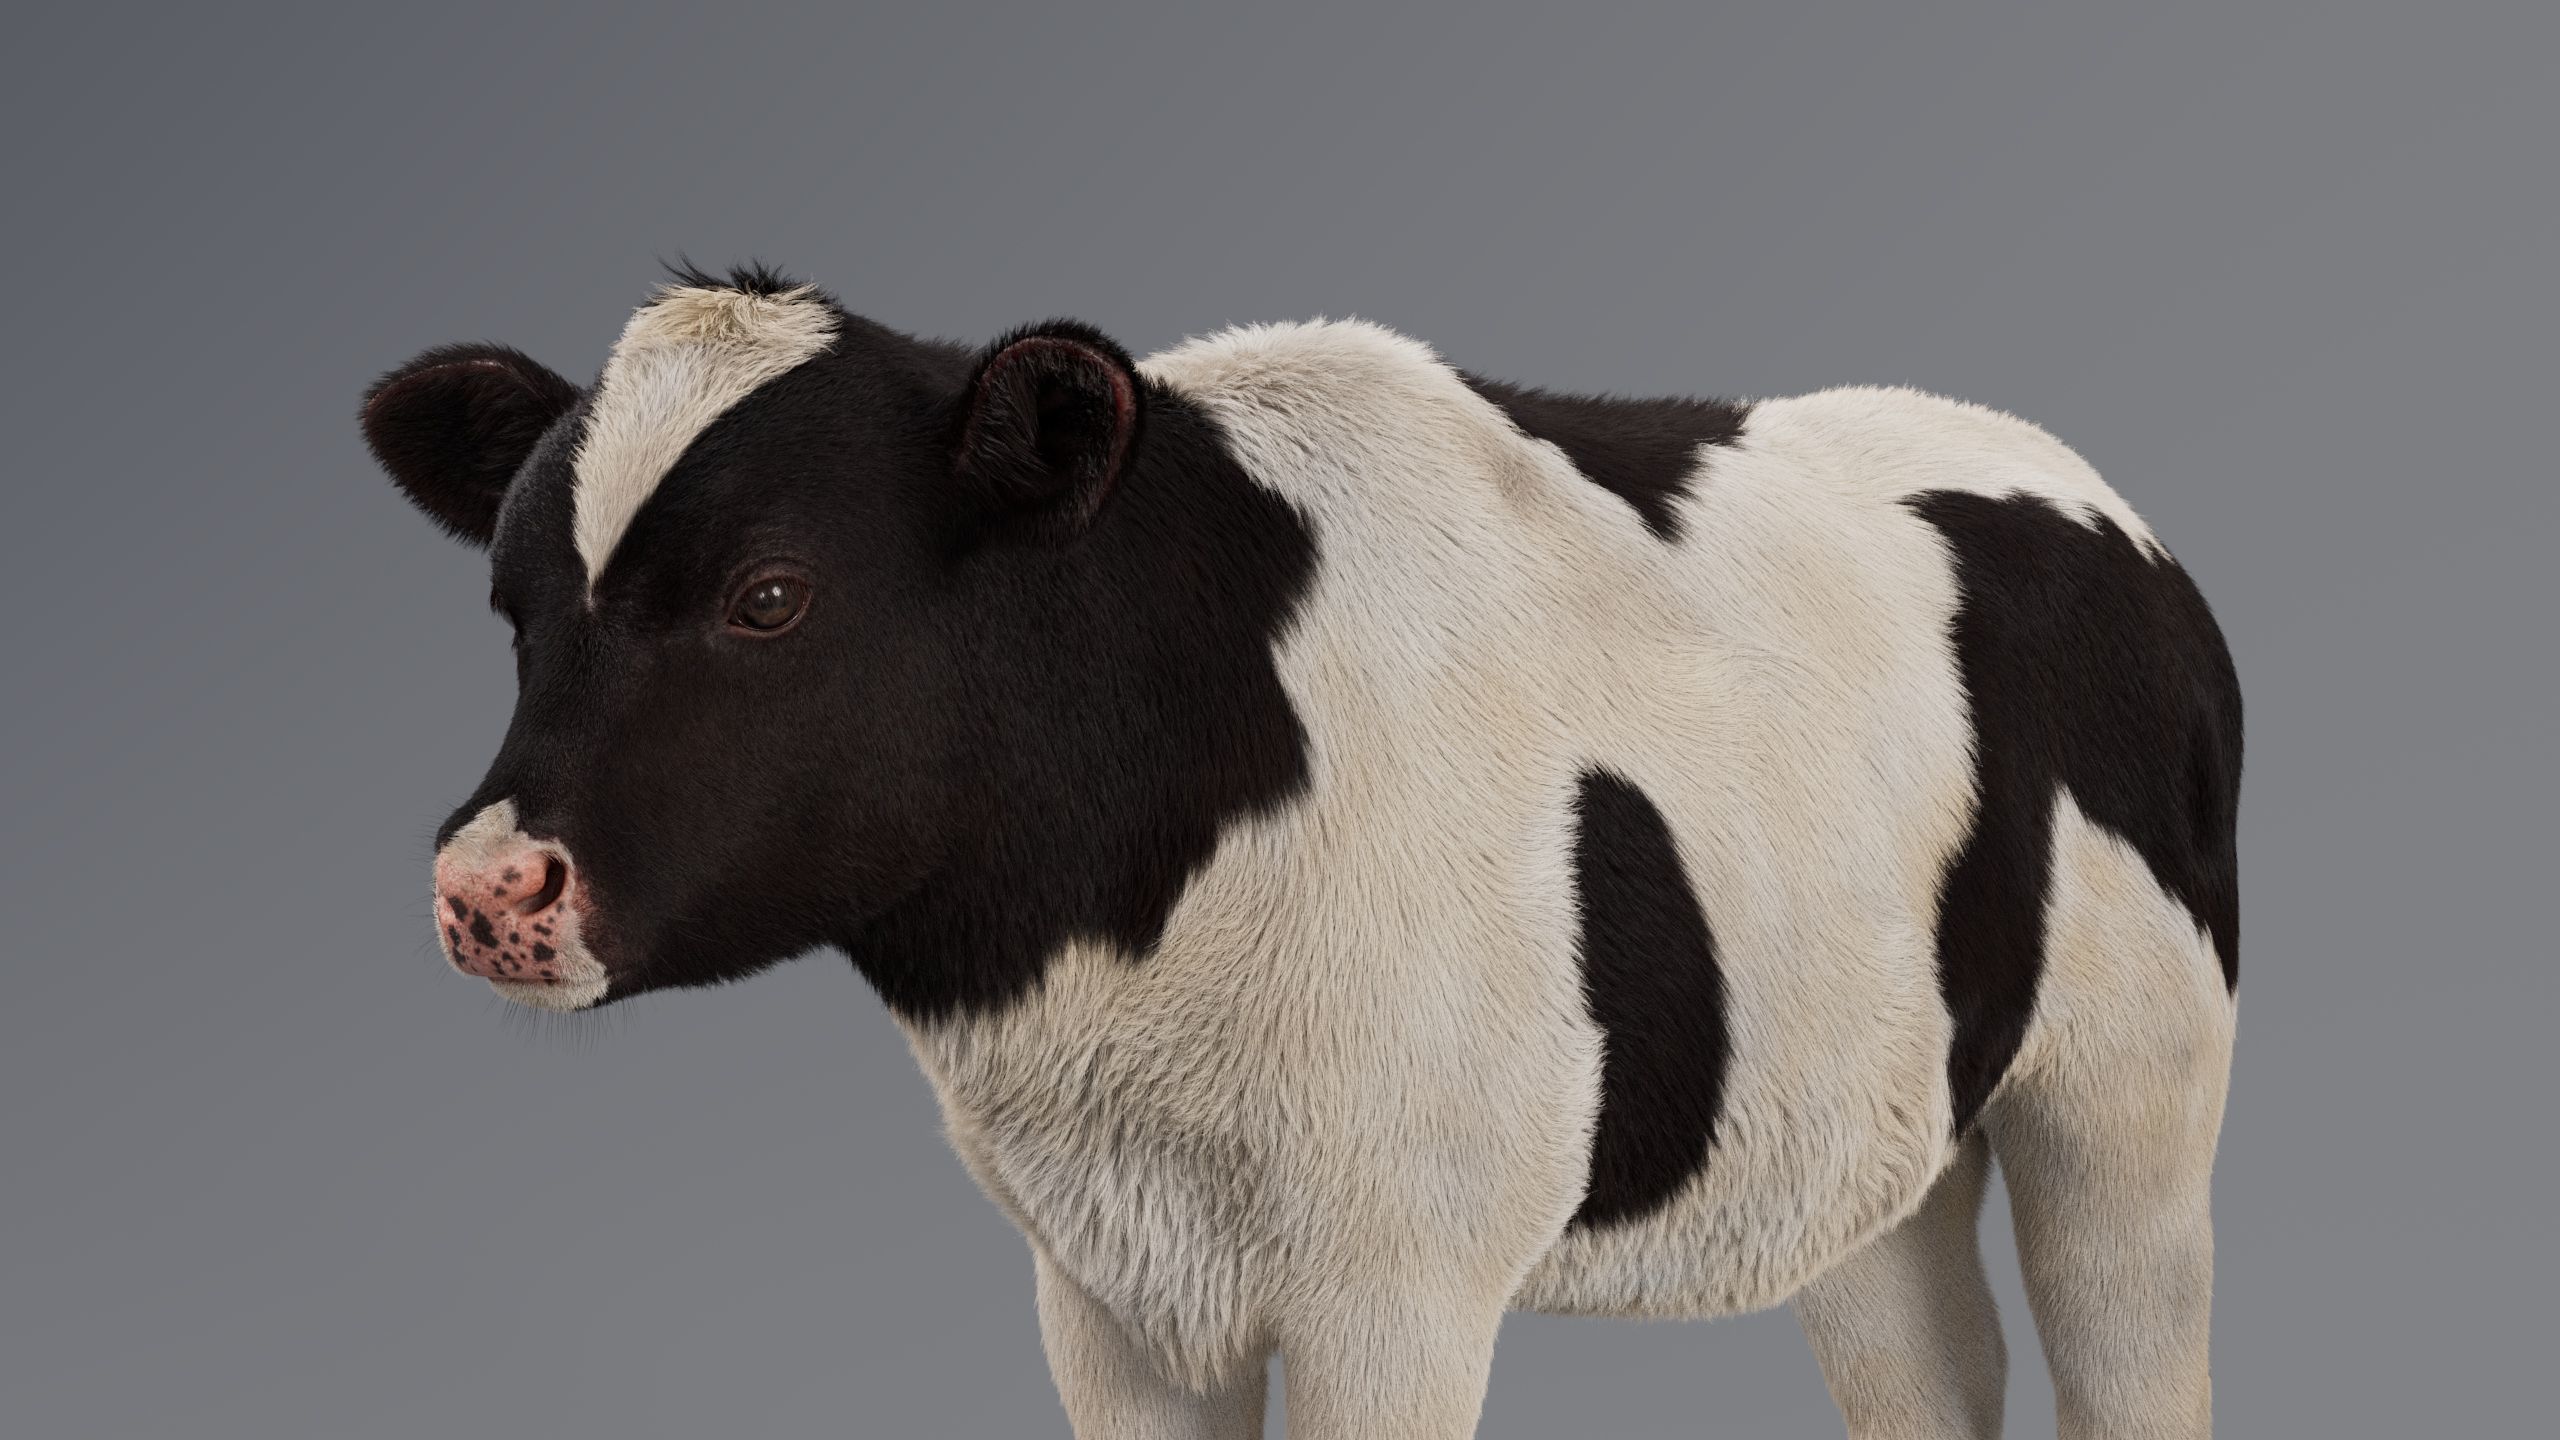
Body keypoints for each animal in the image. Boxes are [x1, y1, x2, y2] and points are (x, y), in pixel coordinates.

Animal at [362, 264, 2241, 1439]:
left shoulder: (1398, 1272)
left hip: (2131, 1095)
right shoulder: (1102, 1286)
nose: (487, 888)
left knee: (2131, 1356)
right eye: (513, 606)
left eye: (769, 596)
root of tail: (2098, 502)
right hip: (1872, 1135)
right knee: (1932, 1367)